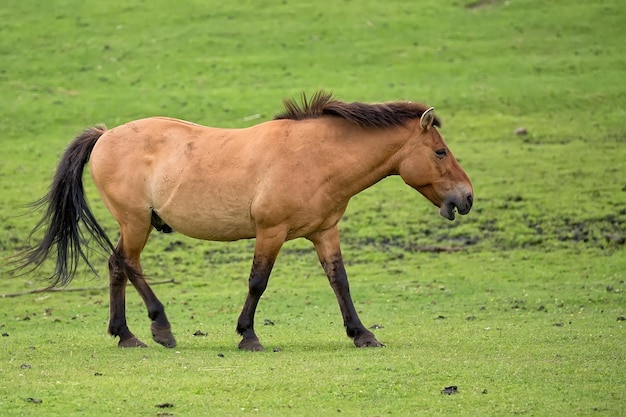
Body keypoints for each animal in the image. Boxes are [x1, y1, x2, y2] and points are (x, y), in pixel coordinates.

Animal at [17, 89, 470, 350]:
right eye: (440, 152)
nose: (466, 198)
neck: (316, 156)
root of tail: (105, 135)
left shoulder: (324, 232)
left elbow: (339, 281)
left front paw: (361, 334)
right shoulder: (271, 232)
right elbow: (258, 282)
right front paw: (248, 335)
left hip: (133, 225)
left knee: (116, 265)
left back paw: (125, 335)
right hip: (136, 223)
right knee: (128, 264)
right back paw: (161, 329)